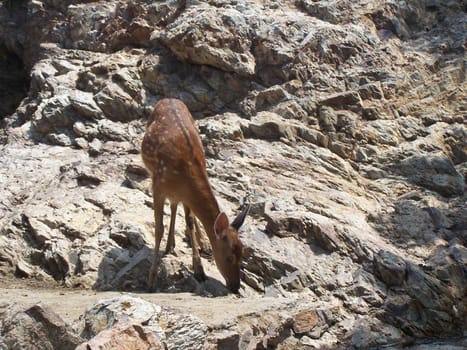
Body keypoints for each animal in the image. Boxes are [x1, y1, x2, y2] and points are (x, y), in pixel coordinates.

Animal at [142, 98, 250, 292]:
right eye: (230, 257)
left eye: (243, 253)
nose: (235, 286)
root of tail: (169, 98)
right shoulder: (158, 186)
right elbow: (158, 228)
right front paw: (151, 280)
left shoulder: (186, 195)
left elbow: (190, 221)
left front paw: (199, 270)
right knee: (173, 207)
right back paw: (171, 245)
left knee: (177, 208)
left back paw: (195, 243)